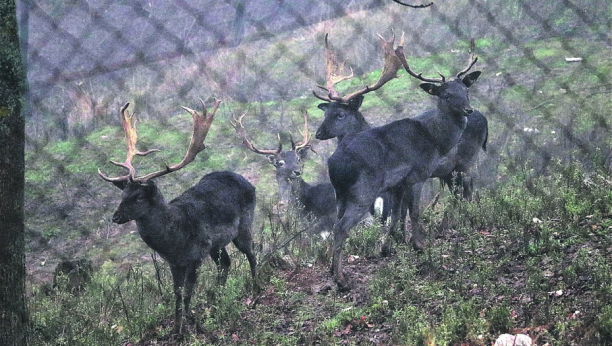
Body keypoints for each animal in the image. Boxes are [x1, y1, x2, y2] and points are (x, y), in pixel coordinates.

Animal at [98, 98, 256, 334]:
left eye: (139, 197)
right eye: (123, 194)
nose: (115, 217)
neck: (175, 239)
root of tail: (247, 181)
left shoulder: (196, 256)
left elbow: (188, 292)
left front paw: (191, 324)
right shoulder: (175, 263)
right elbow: (177, 293)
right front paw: (177, 327)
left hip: (244, 225)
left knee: (252, 253)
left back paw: (256, 289)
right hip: (217, 245)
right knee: (226, 263)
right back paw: (217, 300)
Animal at [326, 35, 482, 290]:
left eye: (465, 90)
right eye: (446, 95)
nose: (468, 109)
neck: (435, 141)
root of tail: (334, 164)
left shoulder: (397, 184)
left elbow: (396, 216)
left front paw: (388, 247)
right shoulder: (417, 174)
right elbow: (414, 212)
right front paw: (419, 244)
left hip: (340, 195)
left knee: (335, 225)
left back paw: (332, 271)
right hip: (363, 192)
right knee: (341, 229)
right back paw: (342, 280)